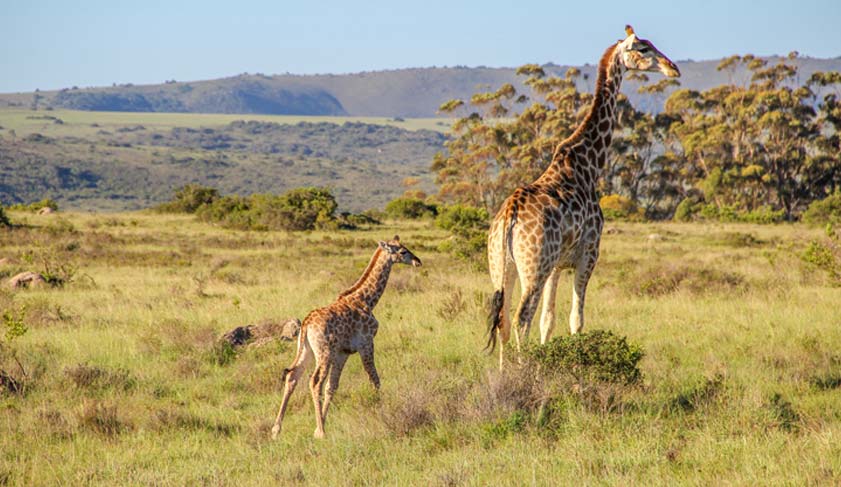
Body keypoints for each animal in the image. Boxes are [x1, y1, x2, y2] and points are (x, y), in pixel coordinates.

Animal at [271, 236, 422, 439]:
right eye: (403, 251)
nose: (418, 261)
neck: (366, 300)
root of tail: (306, 324)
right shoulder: (366, 343)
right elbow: (375, 380)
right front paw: (381, 410)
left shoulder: (343, 352)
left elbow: (332, 387)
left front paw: (319, 425)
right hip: (324, 352)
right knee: (315, 381)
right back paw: (322, 432)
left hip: (307, 350)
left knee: (293, 377)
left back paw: (276, 429)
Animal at [486, 25, 680, 367]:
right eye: (643, 49)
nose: (673, 68)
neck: (589, 164)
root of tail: (508, 217)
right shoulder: (588, 254)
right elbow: (576, 320)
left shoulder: (557, 264)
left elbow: (548, 321)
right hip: (533, 266)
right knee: (521, 317)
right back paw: (520, 372)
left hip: (501, 266)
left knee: (504, 320)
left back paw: (500, 375)